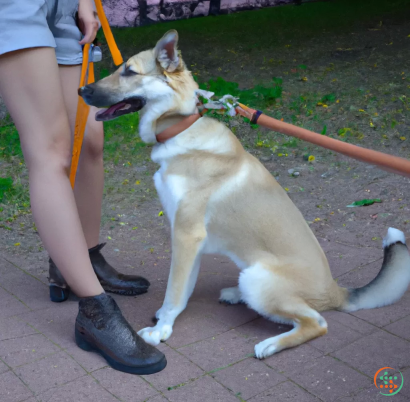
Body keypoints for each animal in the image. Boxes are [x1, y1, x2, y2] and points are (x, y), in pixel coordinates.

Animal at [79, 30, 410, 358]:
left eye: (130, 71)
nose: (82, 89)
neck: (180, 127)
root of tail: (336, 291)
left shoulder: (187, 234)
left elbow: (175, 291)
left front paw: (161, 330)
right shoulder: (188, 239)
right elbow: (183, 288)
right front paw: (165, 321)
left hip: (258, 280)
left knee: (316, 322)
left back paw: (270, 344)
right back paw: (236, 295)